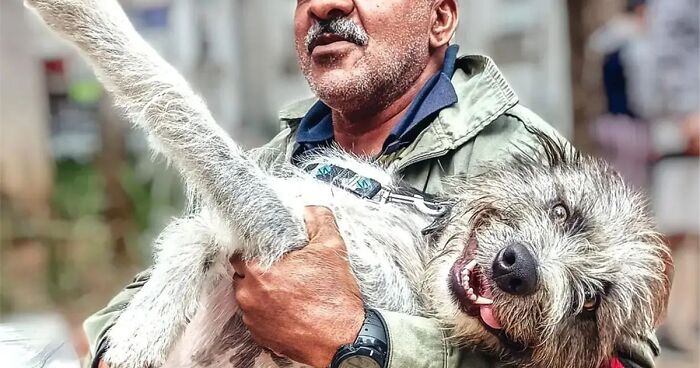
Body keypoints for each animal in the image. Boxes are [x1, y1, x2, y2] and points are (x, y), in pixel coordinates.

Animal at [27, 0, 672, 368]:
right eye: (563, 212)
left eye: (590, 303)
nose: (519, 269)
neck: (420, 243)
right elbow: (192, 238)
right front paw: (142, 325)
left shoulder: (288, 235)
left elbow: (176, 105)